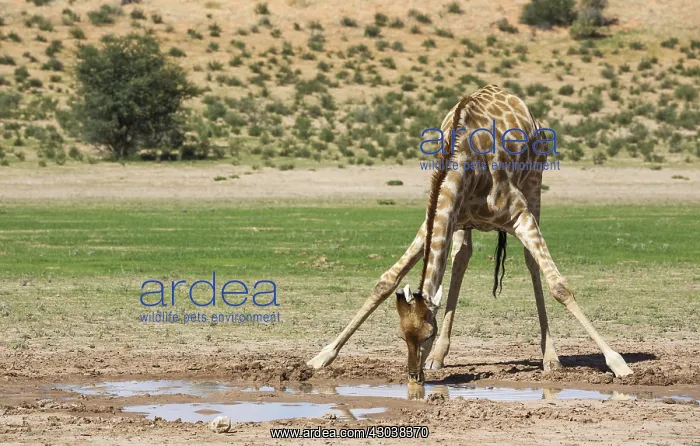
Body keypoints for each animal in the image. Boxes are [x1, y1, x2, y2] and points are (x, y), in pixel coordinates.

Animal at [307, 84, 633, 383]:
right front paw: (320, 357)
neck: (467, 165)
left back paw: (550, 359)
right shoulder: (436, 220)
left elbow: (560, 286)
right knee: (461, 259)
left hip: (535, 183)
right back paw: (439, 358)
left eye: (427, 333)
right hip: (463, 225)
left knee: (531, 262)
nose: (413, 375)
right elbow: (386, 281)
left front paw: (617, 363)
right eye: (402, 335)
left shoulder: (520, 214)